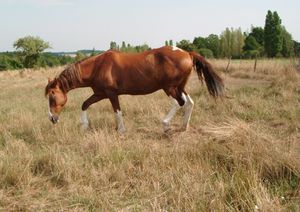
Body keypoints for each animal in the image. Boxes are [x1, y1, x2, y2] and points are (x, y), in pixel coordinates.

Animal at [44, 46, 223, 132]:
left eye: (52, 95)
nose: (52, 118)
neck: (97, 67)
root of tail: (187, 53)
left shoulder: (111, 94)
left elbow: (117, 111)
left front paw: (121, 130)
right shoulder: (100, 93)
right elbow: (85, 104)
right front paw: (84, 126)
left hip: (169, 88)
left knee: (179, 103)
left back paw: (166, 125)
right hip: (179, 87)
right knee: (189, 103)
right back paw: (184, 126)